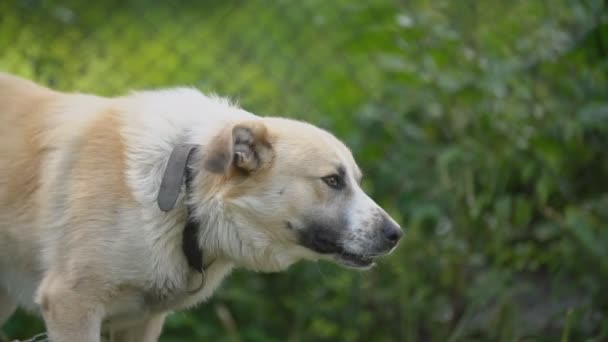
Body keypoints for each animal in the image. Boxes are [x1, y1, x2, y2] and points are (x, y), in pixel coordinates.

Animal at [0, 73, 404, 340]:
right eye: (333, 180)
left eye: (356, 180)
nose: (396, 235)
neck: (185, 190)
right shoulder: (71, 304)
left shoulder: (140, 321)